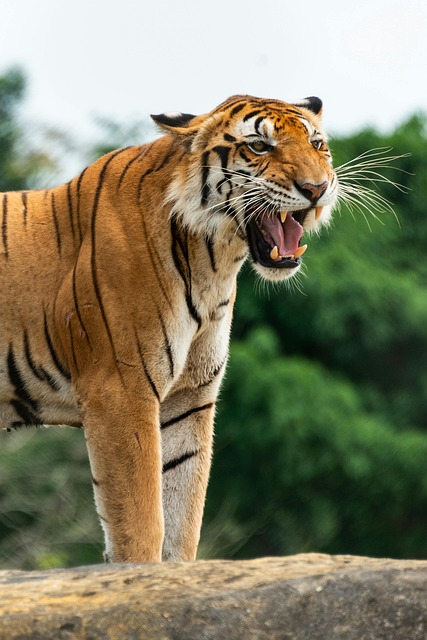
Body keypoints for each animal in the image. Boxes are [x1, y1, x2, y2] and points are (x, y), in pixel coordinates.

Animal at [0, 94, 338, 563]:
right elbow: (141, 524)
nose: (318, 188)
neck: (213, 263)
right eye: (259, 146)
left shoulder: (188, 398)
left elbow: (181, 519)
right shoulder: (120, 393)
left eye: (317, 144)